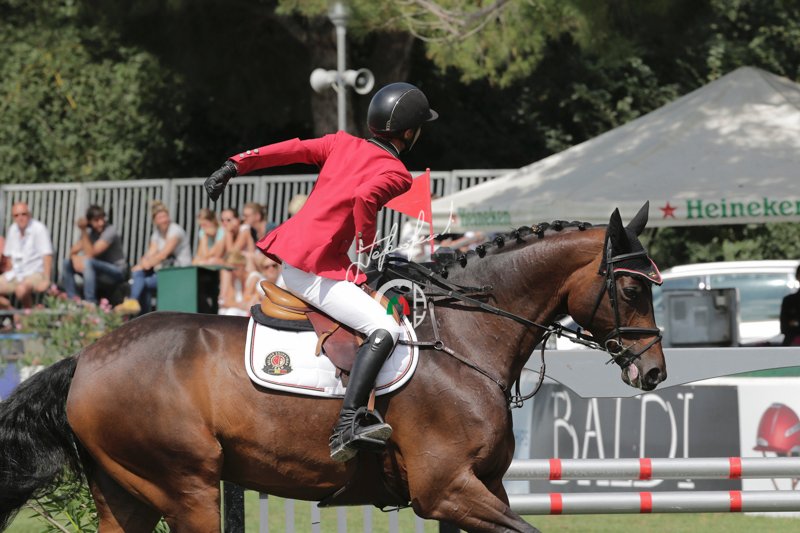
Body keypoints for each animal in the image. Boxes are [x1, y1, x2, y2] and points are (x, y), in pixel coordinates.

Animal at [0, 203, 666, 532]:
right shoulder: (447, 490)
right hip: (186, 487)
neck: (465, 340)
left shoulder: (480, 488)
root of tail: (86, 357)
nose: (654, 372)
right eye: (633, 289)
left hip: (126, 493)